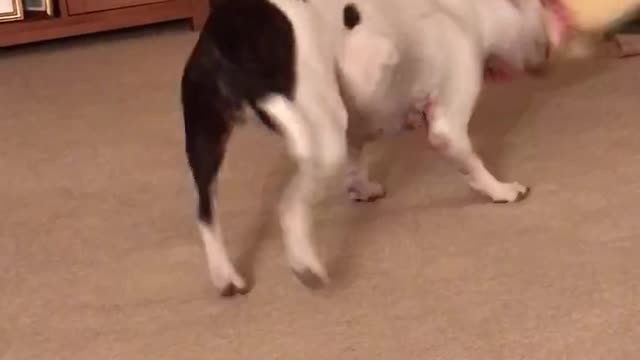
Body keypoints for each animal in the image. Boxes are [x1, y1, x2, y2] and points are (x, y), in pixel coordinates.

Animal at [180, 0, 568, 296]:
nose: (552, 46)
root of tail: (231, 27)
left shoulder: (358, 119)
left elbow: (357, 155)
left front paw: (361, 188)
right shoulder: (450, 118)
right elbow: (471, 161)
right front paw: (501, 190)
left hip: (206, 140)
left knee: (205, 211)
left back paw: (226, 276)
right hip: (321, 134)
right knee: (290, 206)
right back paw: (306, 266)